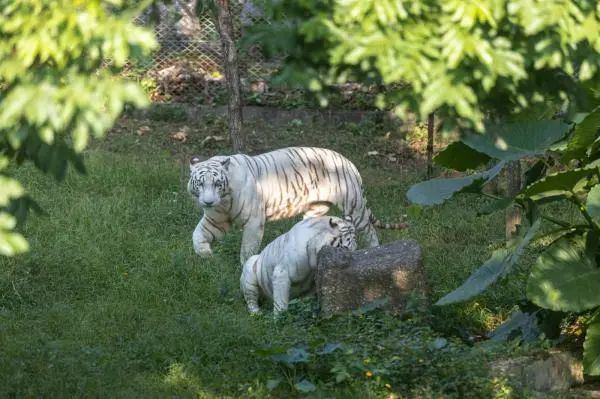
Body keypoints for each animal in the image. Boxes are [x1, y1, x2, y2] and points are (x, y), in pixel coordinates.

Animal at [188, 147, 392, 266]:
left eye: (217, 184)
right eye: (200, 184)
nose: (208, 202)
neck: (223, 200)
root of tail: (349, 162)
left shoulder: (254, 221)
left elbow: (247, 249)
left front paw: (245, 267)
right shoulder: (216, 220)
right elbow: (197, 235)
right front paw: (206, 254)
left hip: (354, 206)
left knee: (369, 231)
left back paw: (374, 251)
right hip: (315, 209)